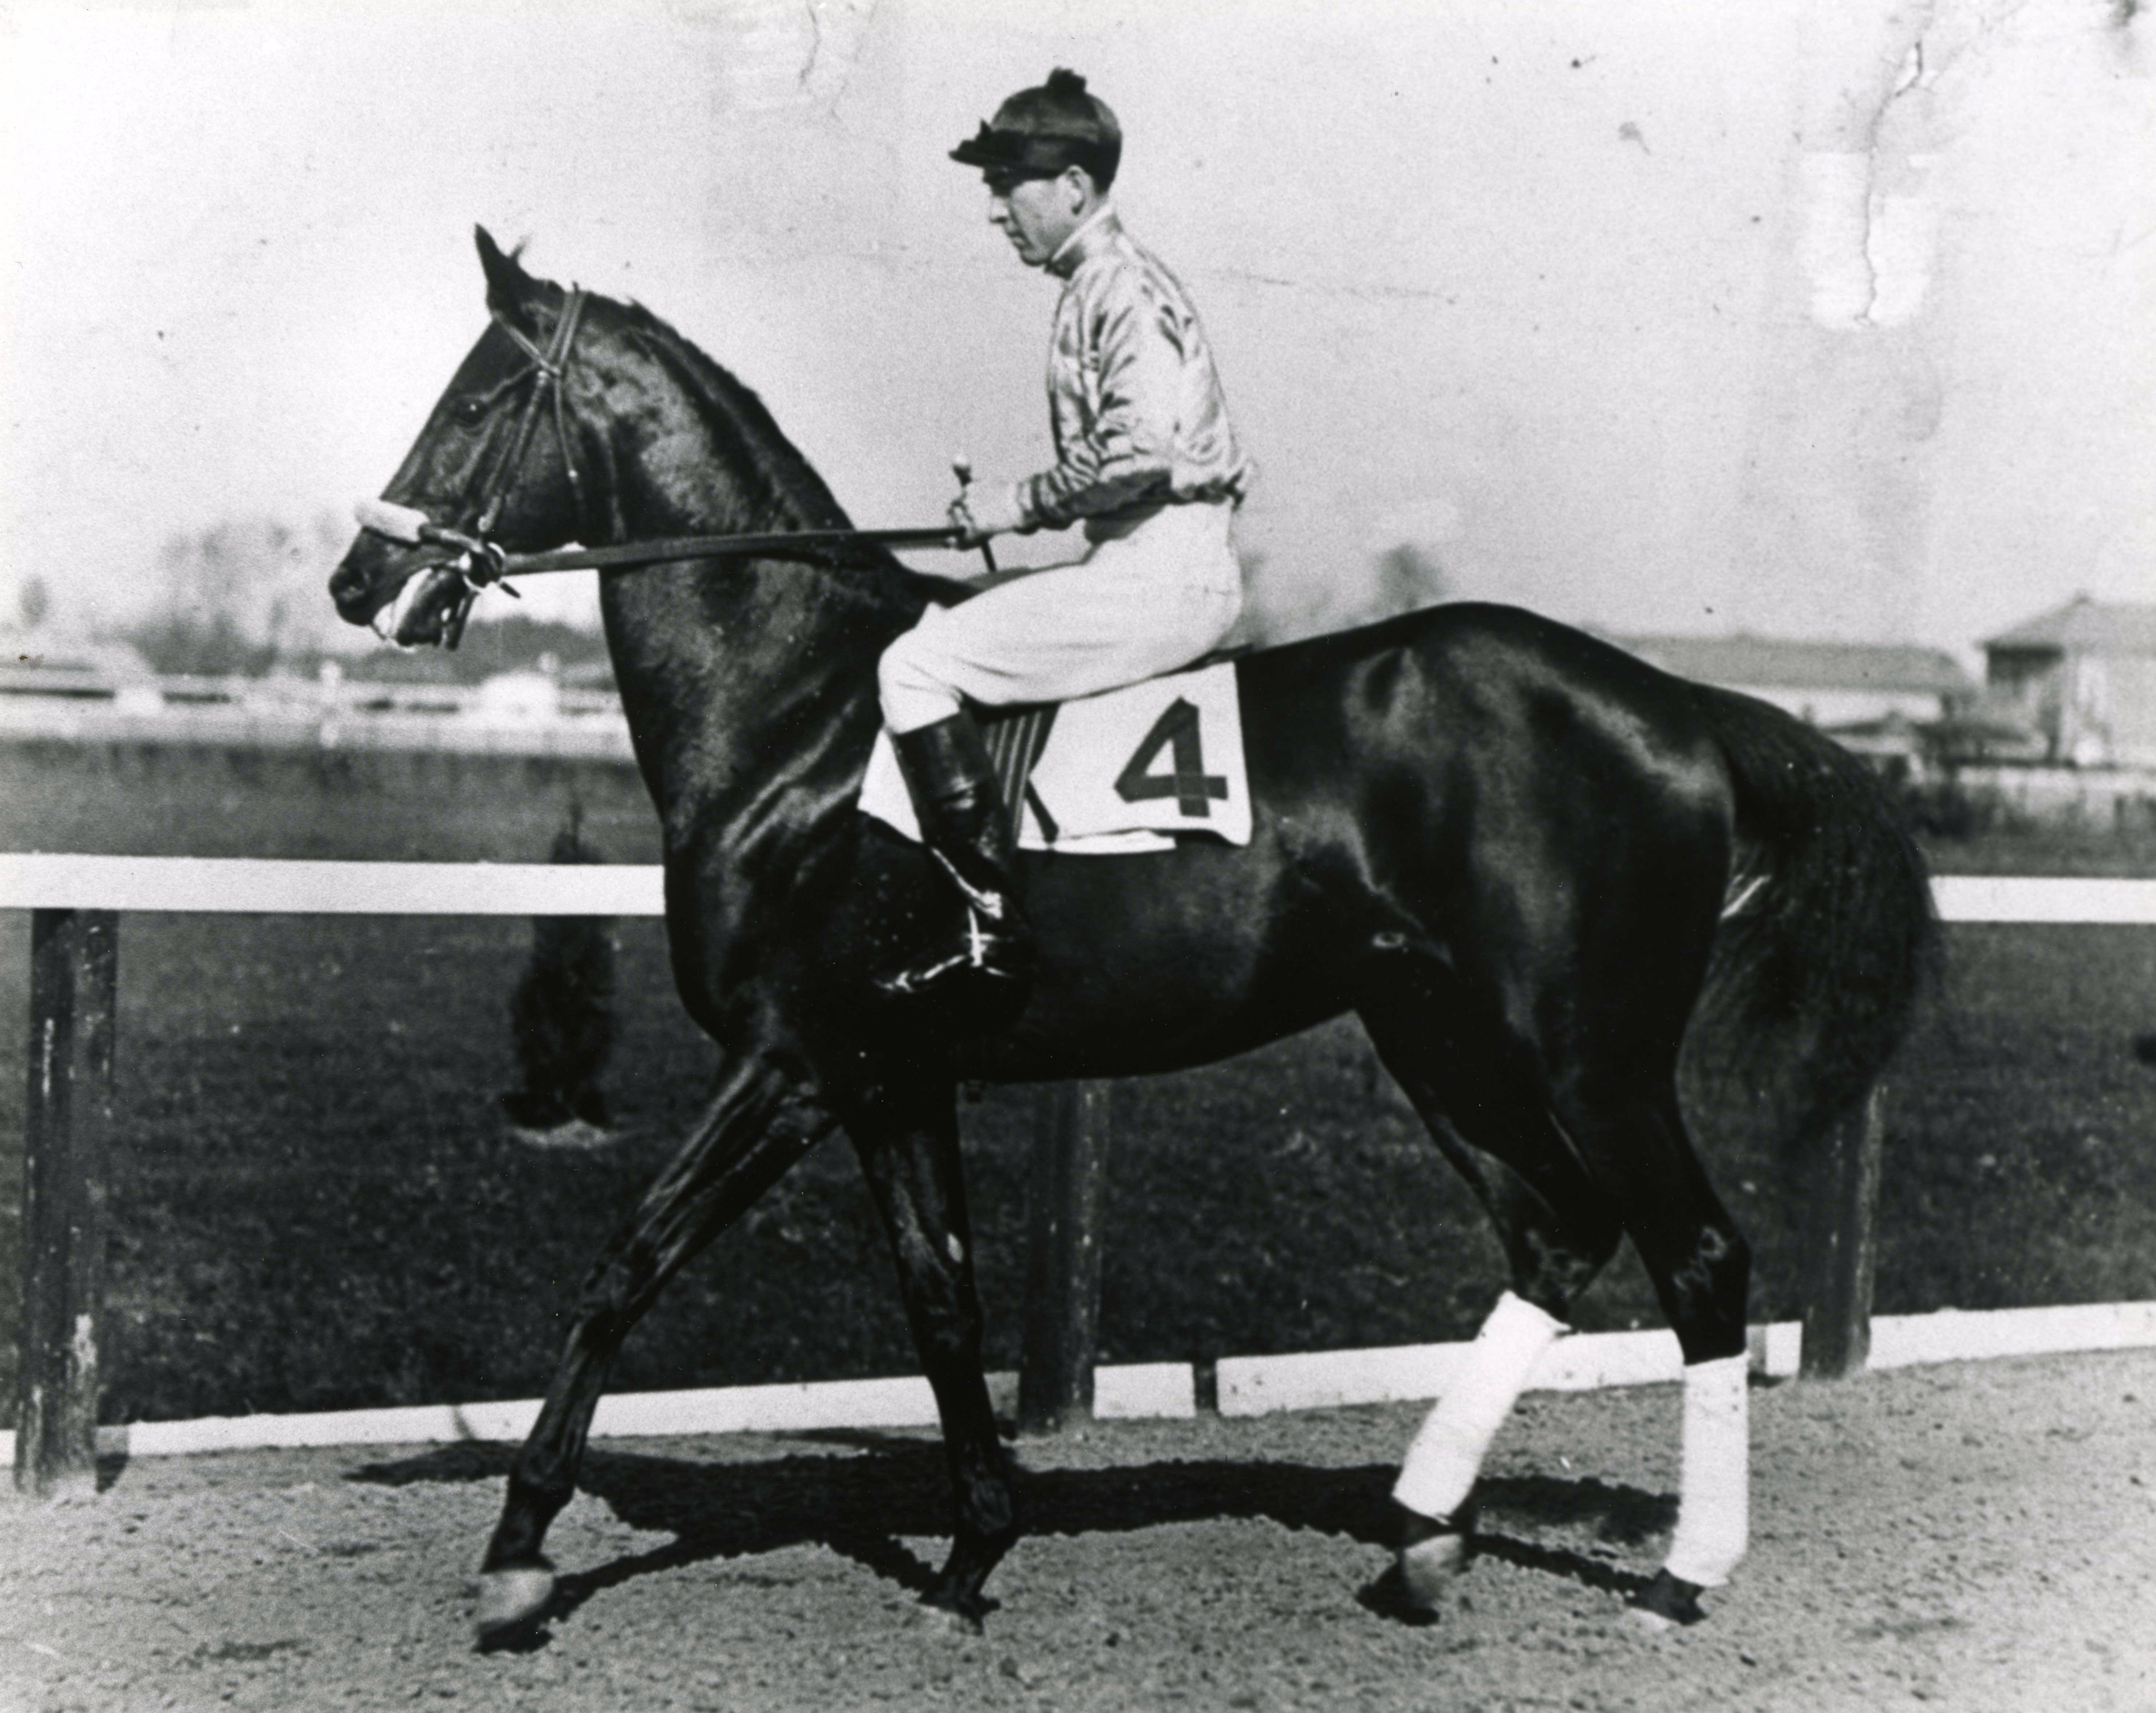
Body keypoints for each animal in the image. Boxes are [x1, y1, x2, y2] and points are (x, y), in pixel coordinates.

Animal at [332, 229, 1940, 1639]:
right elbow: (940, 1300)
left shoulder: (794, 1061)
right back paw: (1423, 1530)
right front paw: (975, 1545)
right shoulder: (891, 1079)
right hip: (1437, 1037)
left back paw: (1682, 1567)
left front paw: (519, 1549)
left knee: (1698, 1257)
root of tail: (1679, 706)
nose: (358, 578)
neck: (802, 720)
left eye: (474, 399)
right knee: (1556, 1234)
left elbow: (627, 1263)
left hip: (1590, 1055)